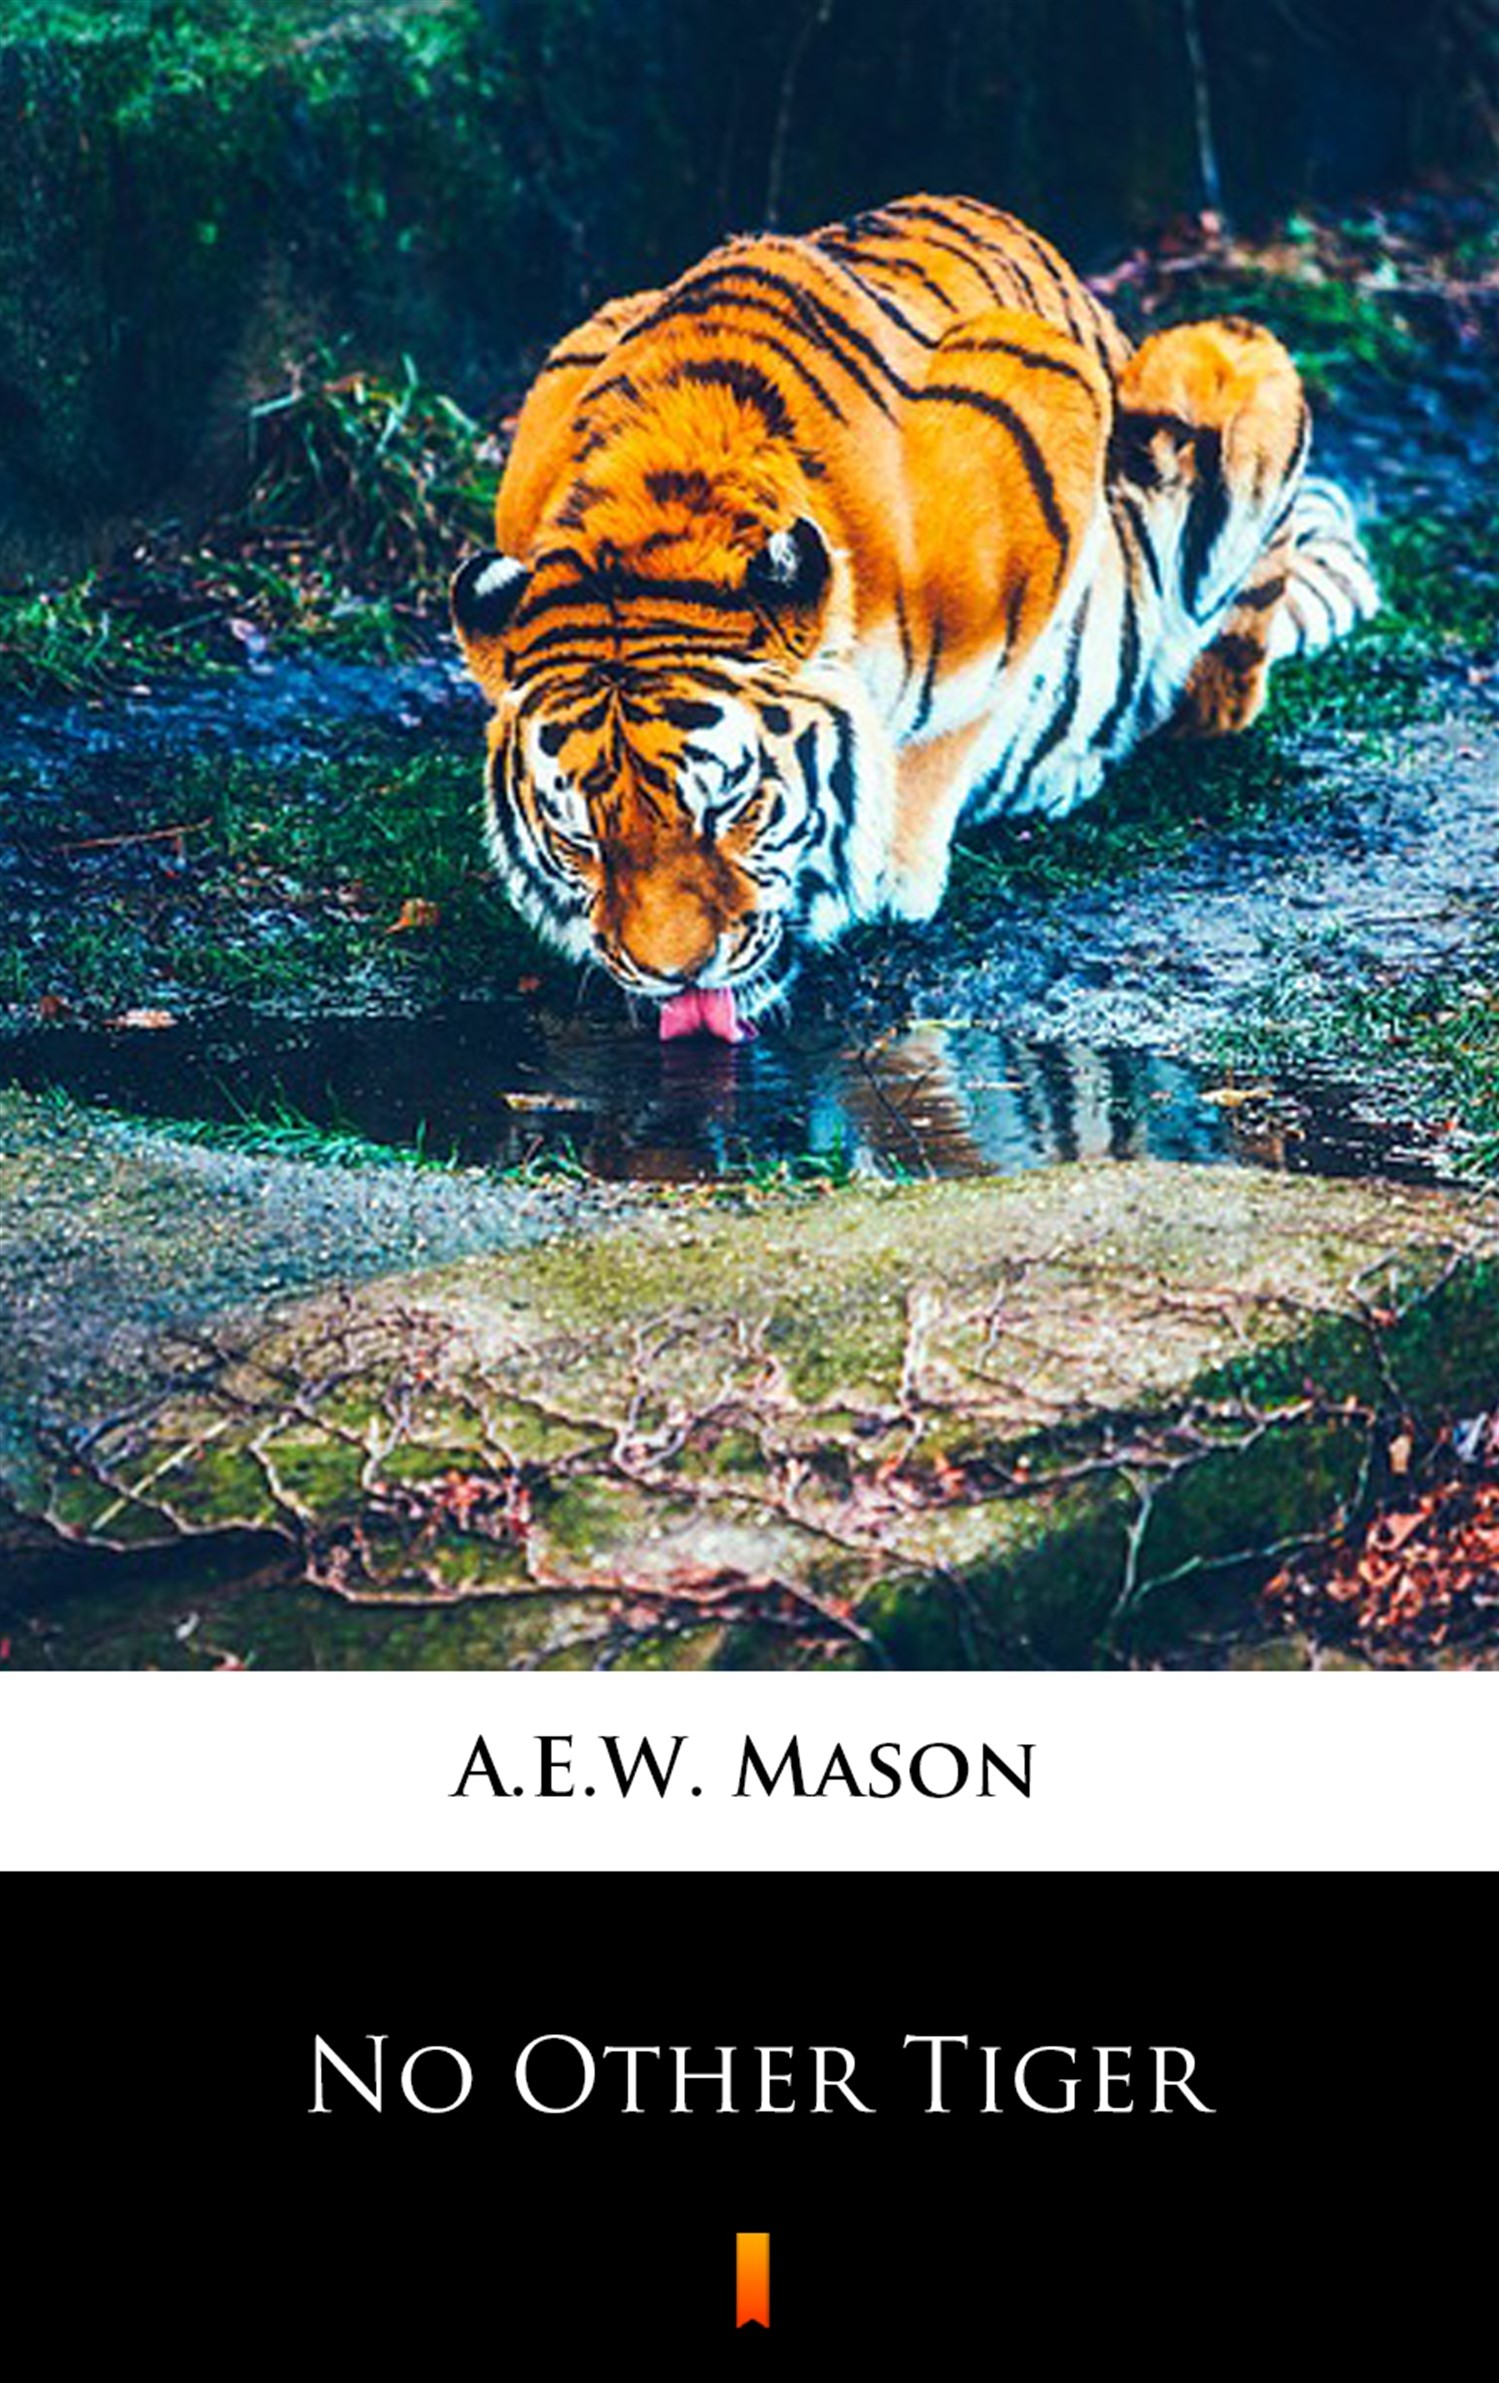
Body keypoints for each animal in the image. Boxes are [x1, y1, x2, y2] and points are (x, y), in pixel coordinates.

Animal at [450, 194, 1378, 1037]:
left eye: (729, 807)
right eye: (580, 838)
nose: (676, 973)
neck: (662, 509)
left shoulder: (1046, 417)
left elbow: (954, 724)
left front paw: (891, 872)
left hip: (1221, 360)